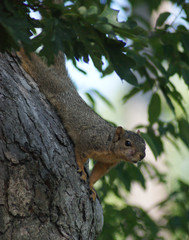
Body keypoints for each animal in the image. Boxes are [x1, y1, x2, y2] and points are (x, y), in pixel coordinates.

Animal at [17, 49, 145, 201]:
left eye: (144, 146)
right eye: (127, 143)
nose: (142, 156)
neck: (111, 148)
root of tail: (67, 83)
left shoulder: (106, 163)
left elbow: (97, 173)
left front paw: (91, 186)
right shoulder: (89, 139)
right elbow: (80, 153)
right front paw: (81, 168)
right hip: (51, 82)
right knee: (36, 65)